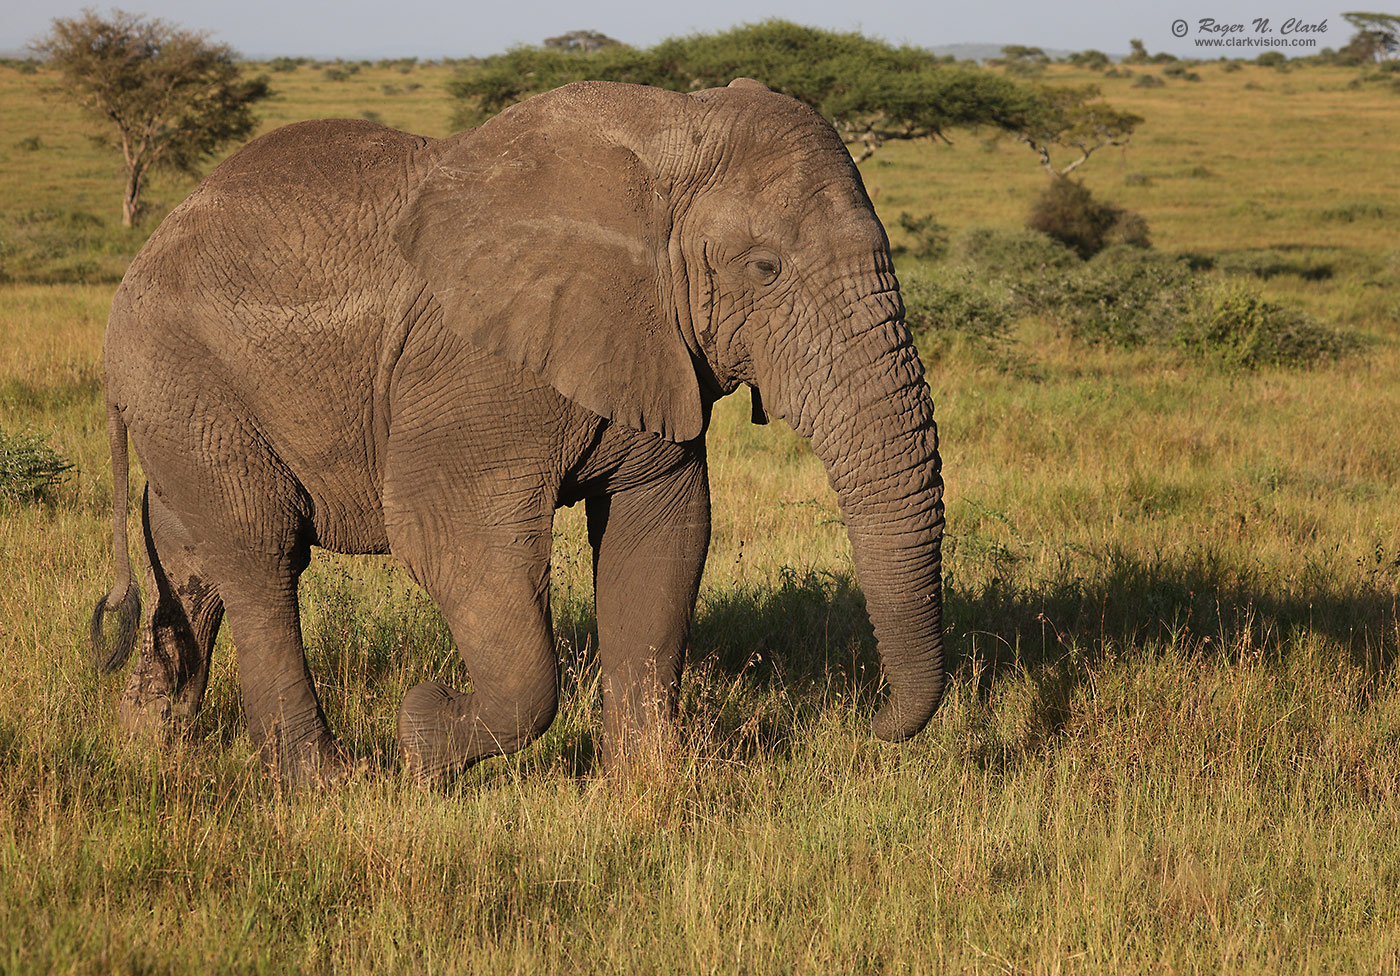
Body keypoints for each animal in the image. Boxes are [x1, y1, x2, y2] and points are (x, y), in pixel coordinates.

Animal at [90, 78, 952, 784]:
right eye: (765, 268)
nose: (873, 724)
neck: (669, 136)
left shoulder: (651, 343)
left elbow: (663, 536)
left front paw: (645, 790)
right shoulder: (472, 365)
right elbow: (457, 543)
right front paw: (422, 731)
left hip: (185, 404)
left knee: (190, 557)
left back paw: (149, 748)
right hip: (185, 377)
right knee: (260, 556)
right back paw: (328, 785)